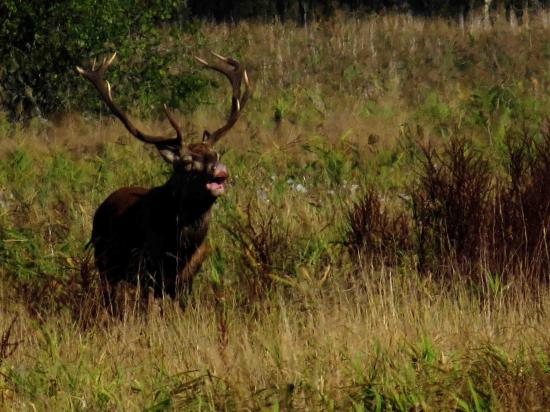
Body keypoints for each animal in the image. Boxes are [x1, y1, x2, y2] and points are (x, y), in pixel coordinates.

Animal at [77, 51, 250, 308]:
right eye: (187, 161)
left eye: (216, 154)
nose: (220, 170)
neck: (179, 249)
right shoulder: (145, 270)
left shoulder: (187, 277)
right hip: (104, 262)